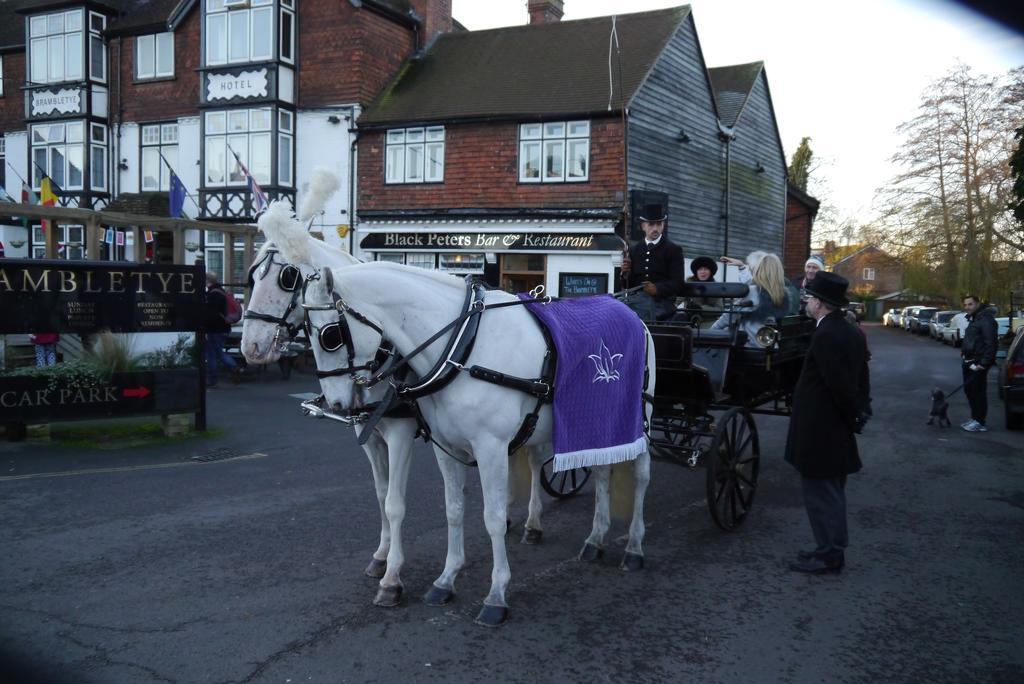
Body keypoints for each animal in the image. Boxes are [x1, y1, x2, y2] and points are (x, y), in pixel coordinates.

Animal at [240, 198, 548, 610]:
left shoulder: (401, 433)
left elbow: (395, 503)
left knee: (536, 459)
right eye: (251, 276)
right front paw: (381, 557)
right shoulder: (370, 436)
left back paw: (533, 523)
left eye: (285, 277)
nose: (252, 348)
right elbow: (381, 494)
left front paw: (392, 578)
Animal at [296, 252, 655, 626]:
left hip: (636, 421)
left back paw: (634, 546)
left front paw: (495, 595)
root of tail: (630, 312)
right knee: (600, 472)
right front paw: (446, 578)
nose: (337, 403)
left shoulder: (486, 447)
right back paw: (594, 539)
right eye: (303, 330)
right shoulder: (445, 448)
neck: (462, 347)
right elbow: (452, 509)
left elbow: (490, 517)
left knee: (641, 476)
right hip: (592, 427)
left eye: (330, 335)